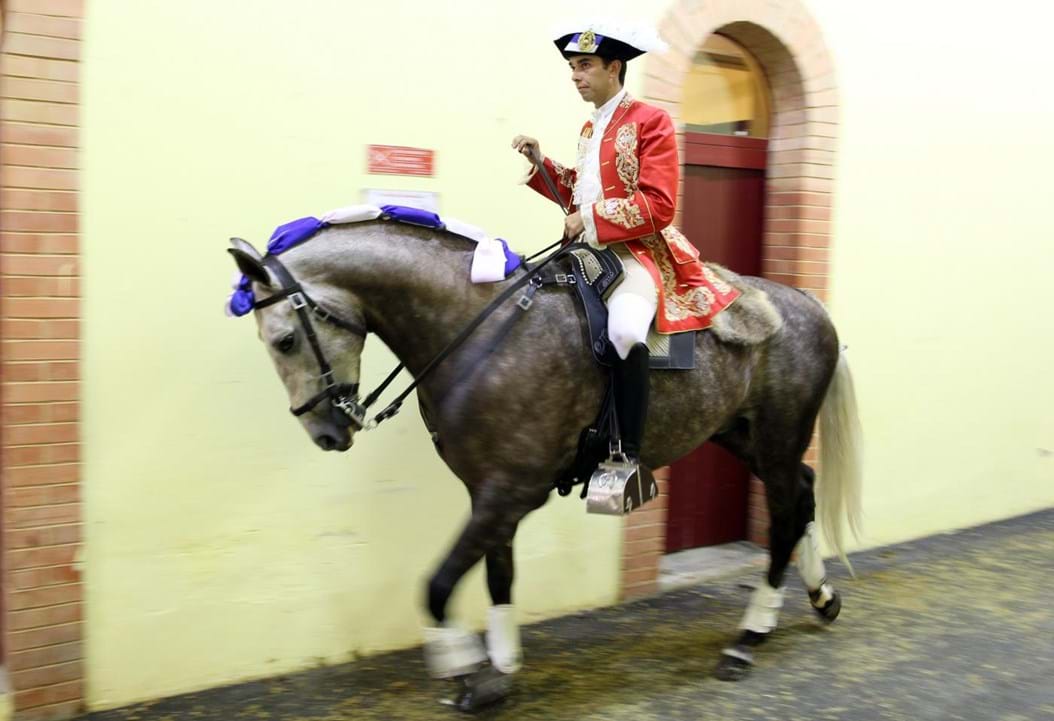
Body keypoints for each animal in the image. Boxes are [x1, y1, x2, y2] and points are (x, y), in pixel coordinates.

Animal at [226, 218, 860, 708]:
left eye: (284, 340)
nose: (327, 433)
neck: (475, 329)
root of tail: (806, 303)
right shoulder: (490, 493)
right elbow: (498, 577)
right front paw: (500, 669)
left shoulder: (511, 491)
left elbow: (437, 585)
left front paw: (461, 667)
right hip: (739, 435)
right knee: (801, 493)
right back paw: (819, 597)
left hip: (778, 435)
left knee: (785, 514)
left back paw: (749, 636)